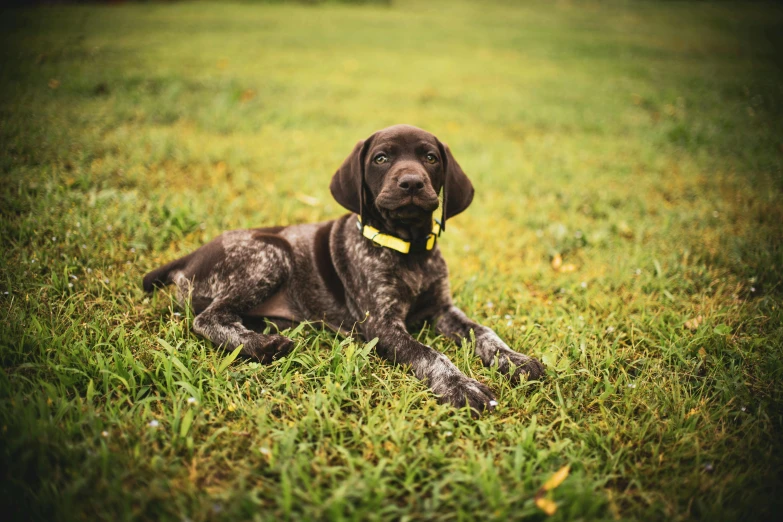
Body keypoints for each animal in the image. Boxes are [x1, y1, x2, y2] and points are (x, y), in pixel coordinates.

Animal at [142, 124, 544, 412]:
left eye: (430, 157)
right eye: (381, 159)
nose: (412, 183)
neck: (409, 249)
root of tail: (190, 256)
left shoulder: (443, 309)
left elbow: (485, 332)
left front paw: (515, 360)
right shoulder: (382, 325)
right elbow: (431, 355)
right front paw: (462, 386)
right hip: (270, 253)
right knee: (207, 317)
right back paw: (262, 345)